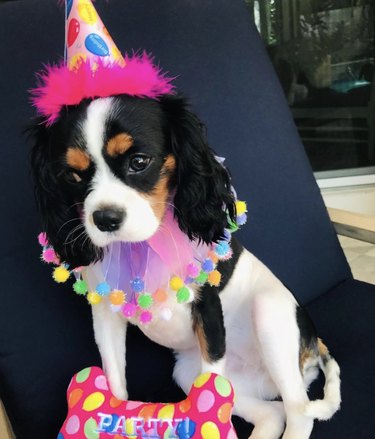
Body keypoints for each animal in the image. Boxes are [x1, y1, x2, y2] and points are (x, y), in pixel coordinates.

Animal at [29, 91, 340, 438]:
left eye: (139, 162)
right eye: (72, 175)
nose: (105, 219)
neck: (141, 246)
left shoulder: (208, 308)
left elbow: (212, 382)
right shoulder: (105, 315)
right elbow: (115, 380)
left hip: (269, 314)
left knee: (298, 412)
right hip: (187, 373)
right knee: (273, 413)